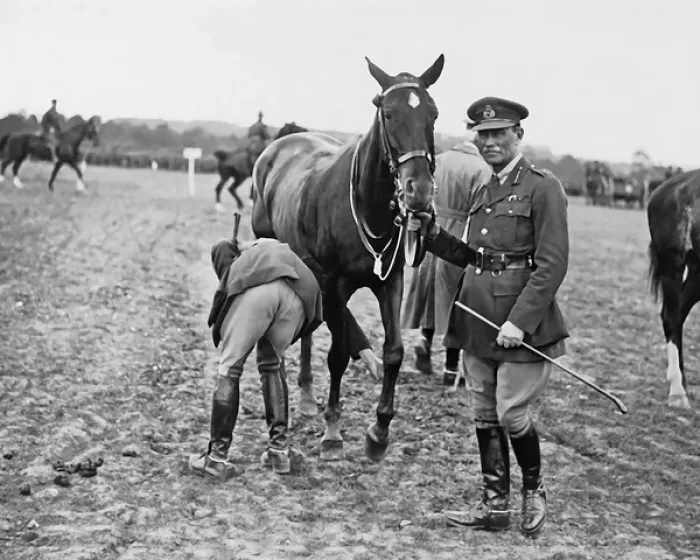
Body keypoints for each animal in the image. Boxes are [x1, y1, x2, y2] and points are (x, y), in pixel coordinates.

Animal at [251, 54, 444, 462]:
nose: (418, 191)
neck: (367, 205)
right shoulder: (336, 281)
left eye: (433, 113)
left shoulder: (390, 279)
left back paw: (307, 395)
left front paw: (379, 432)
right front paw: (333, 432)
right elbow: (338, 353)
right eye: (388, 112)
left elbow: (393, 352)